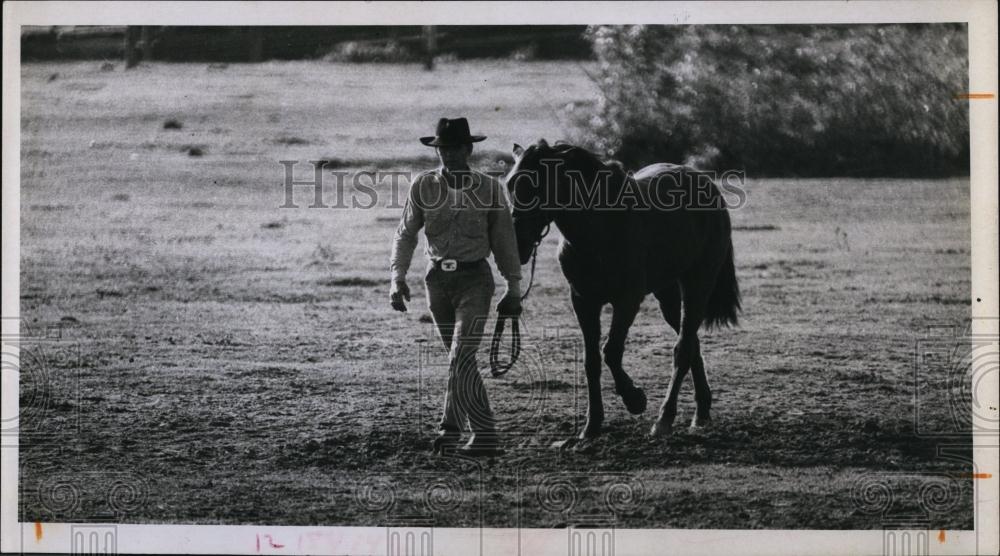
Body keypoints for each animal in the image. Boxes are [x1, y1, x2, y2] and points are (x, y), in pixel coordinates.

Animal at [504, 141, 740, 440]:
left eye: (539, 185)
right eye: (510, 184)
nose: (517, 245)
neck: (601, 227)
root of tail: (708, 186)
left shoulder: (627, 300)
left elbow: (611, 352)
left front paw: (635, 399)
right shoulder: (583, 301)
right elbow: (592, 361)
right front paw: (592, 425)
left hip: (697, 284)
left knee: (683, 348)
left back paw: (664, 419)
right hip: (667, 296)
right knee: (691, 344)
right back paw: (701, 412)